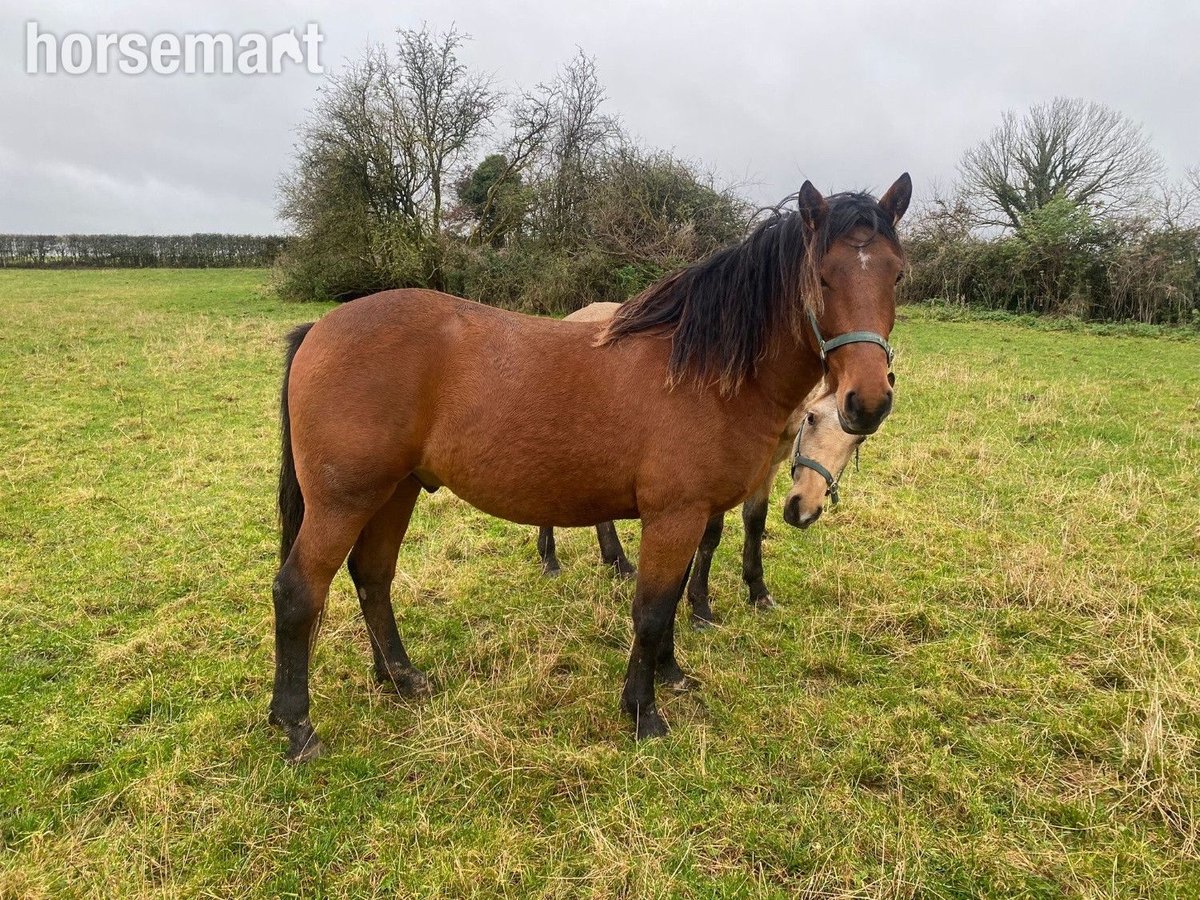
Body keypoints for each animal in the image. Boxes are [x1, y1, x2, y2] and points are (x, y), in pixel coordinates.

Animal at [270, 175, 910, 761]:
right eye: (821, 276)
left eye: (896, 274)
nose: (868, 400)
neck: (703, 372)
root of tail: (318, 329)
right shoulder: (675, 515)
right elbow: (650, 611)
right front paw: (644, 713)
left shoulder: (687, 516)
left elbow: (670, 604)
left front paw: (673, 675)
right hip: (344, 500)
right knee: (299, 590)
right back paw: (297, 727)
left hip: (395, 491)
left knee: (372, 577)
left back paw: (401, 678)